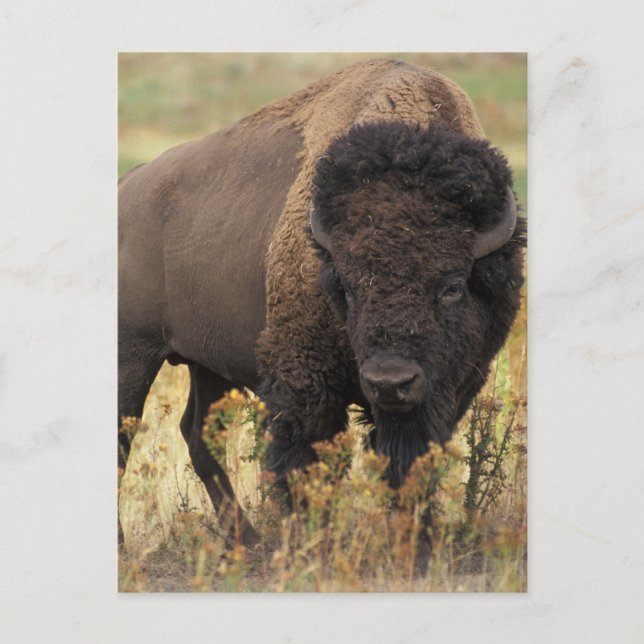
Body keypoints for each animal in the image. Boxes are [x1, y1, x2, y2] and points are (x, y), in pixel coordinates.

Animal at [118, 59, 525, 543]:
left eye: (452, 286)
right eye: (346, 286)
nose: (390, 382)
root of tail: (126, 186)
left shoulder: (448, 389)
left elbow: (410, 463)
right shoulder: (305, 383)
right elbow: (306, 463)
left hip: (207, 363)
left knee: (198, 435)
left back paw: (247, 541)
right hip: (134, 354)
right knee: (125, 438)